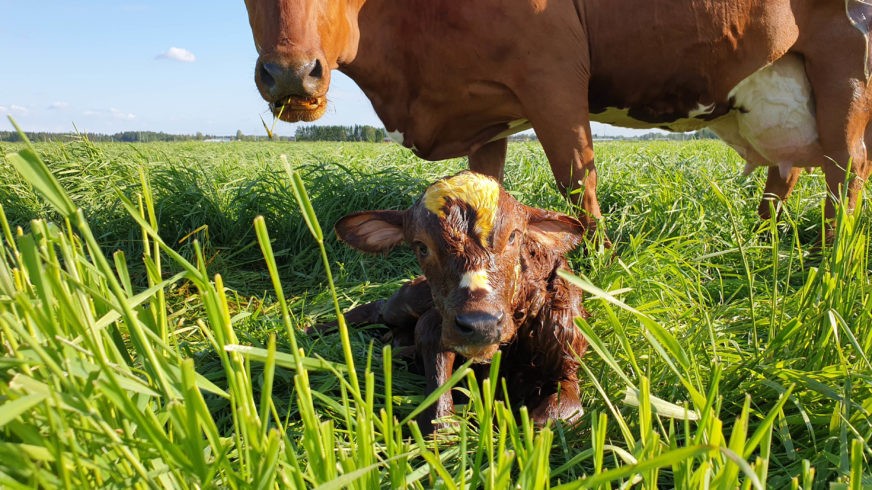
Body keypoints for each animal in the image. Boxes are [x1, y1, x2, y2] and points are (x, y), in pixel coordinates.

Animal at [244, 0, 872, 234]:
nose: (292, 76)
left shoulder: (552, 75)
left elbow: (577, 180)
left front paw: (594, 265)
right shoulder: (485, 114)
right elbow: (482, 188)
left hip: (847, 68)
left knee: (846, 168)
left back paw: (830, 255)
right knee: (787, 169)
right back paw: (766, 239)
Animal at [332, 170, 584, 430]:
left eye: (514, 236)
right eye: (422, 247)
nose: (481, 324)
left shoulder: (565, 354)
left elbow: (553, 416)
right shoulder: (438, 323)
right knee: (379, 309)